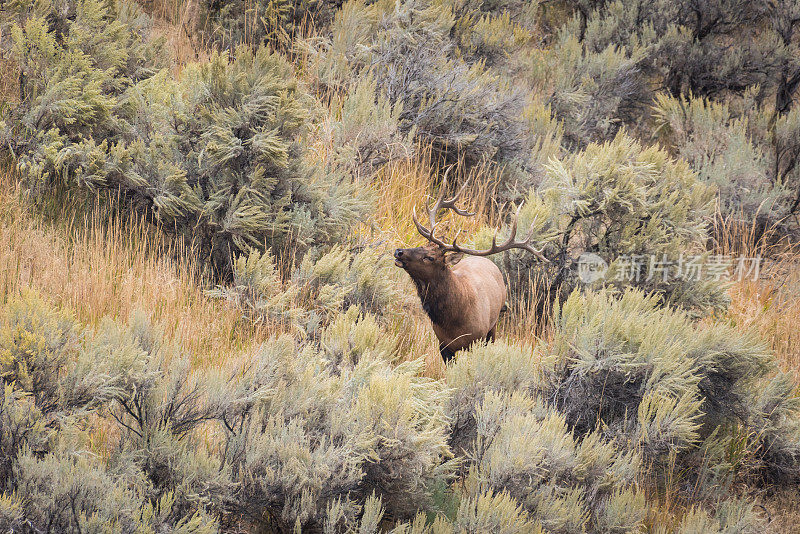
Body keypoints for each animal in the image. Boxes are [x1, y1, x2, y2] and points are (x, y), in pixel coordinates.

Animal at [396, 173, 552, 364]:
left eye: (430, 257)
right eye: (421, 245)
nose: (399, 251)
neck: (454, 320)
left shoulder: (477, 339)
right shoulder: (443, 345)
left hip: (493, 325)